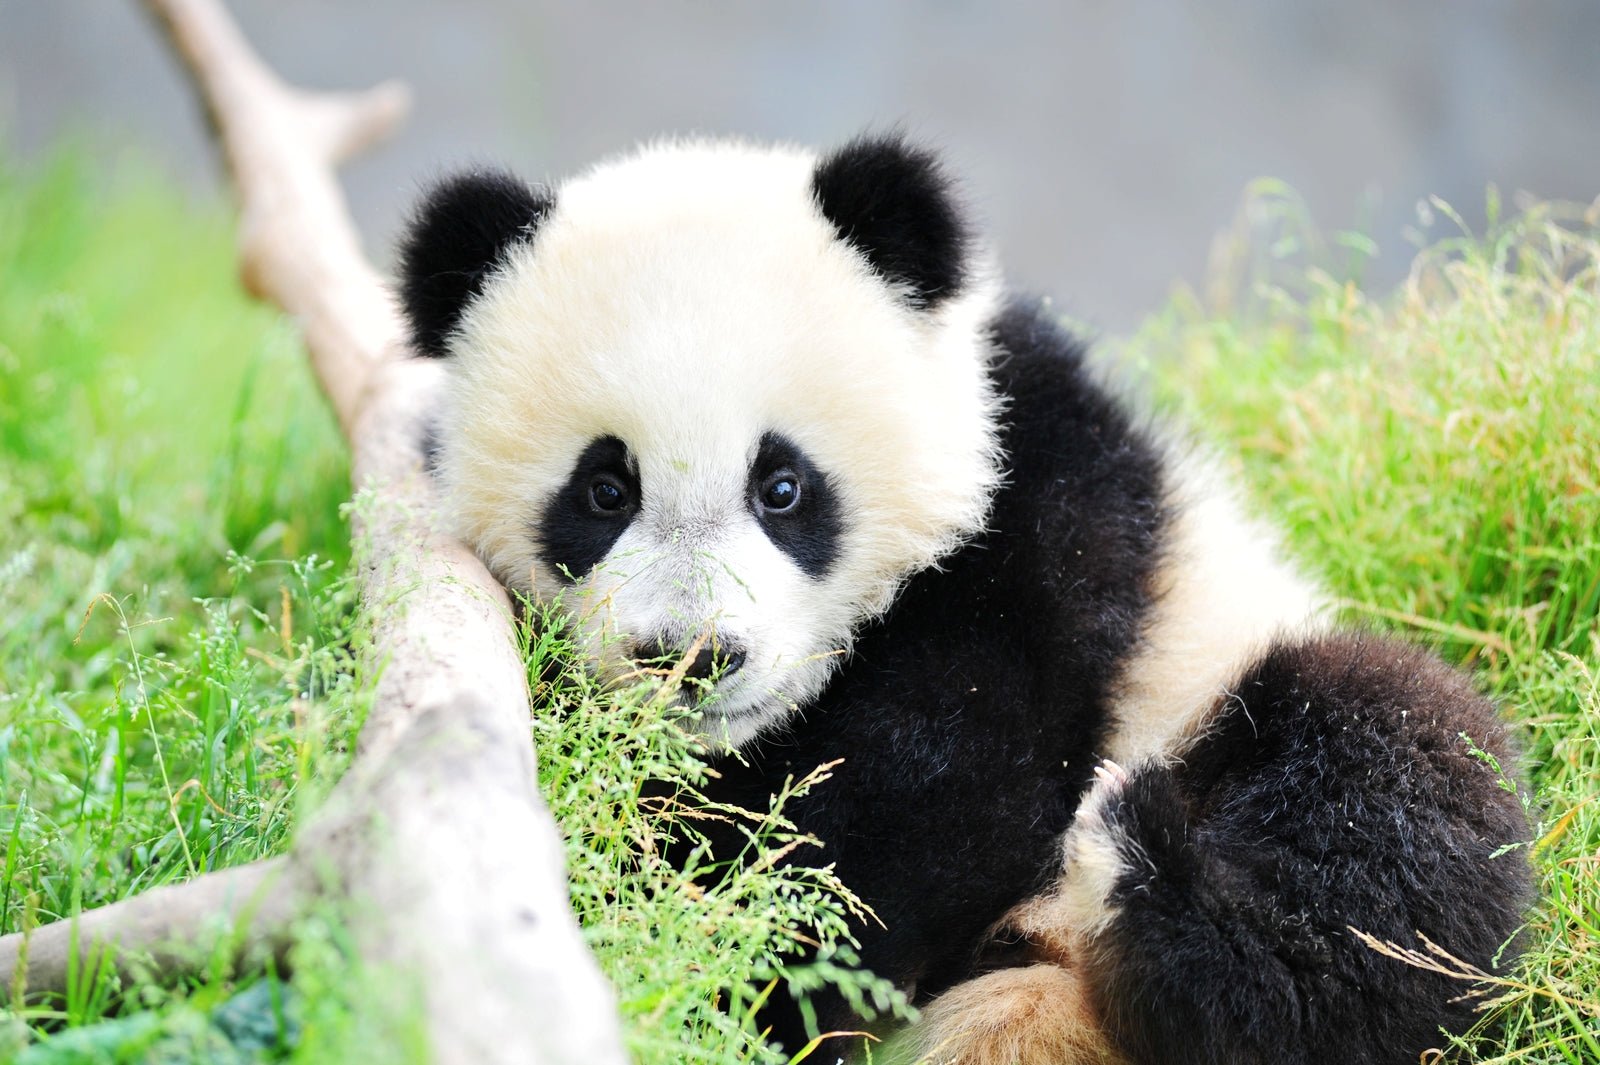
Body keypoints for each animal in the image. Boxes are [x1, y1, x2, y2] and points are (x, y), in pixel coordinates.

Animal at [393, 132, 1529, 1061]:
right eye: (604, 489)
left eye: (783, 485)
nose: (695, 656)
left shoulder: (1043, 510)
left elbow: (940, 784)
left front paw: (751, 966)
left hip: (1218, 678)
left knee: (1390, 795)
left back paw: (1153, 880)